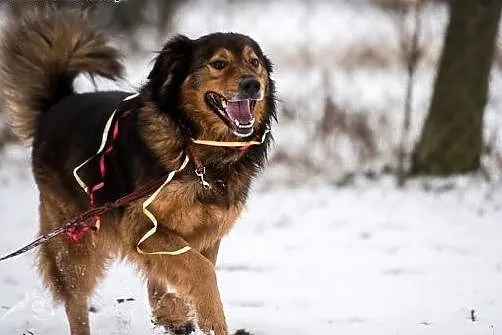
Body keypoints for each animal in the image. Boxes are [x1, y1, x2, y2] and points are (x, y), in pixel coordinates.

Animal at [0, 5, 276, 335]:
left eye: (254, 62)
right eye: (218, 64)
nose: (252, 84)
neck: (194, 147)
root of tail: (57, 104)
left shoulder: (207, 232)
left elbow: (186, 268)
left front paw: (176, 310)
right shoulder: (139, 224)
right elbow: (201, 271)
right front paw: (211, 319)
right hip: (74, 239)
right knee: (76, 302)